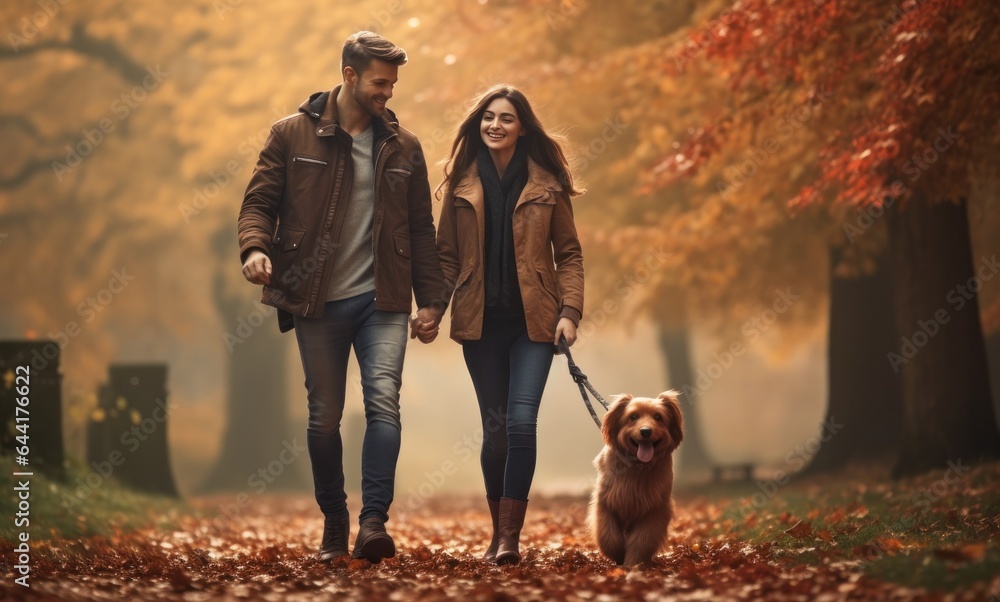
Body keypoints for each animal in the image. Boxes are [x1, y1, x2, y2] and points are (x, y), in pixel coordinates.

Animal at [584, 390, 680, 564]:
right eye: (633, 416)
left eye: (658, 417)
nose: (646, 431)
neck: (638, 466)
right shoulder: (606, 503)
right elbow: (609, 536)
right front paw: (618, 556)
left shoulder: (655, 509)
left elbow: (642, 540)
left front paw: (633, 563)